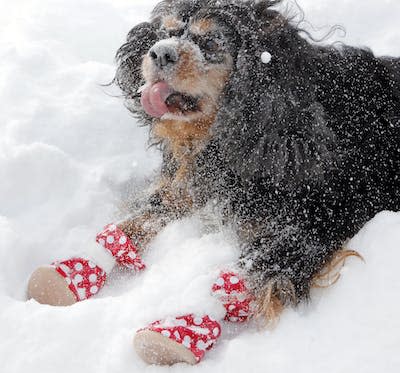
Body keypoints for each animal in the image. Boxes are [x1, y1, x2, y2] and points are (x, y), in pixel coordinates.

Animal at [112, 0, 400, 322]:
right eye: (166, 33)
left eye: (212, 42)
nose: (161, 52)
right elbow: (145, 213)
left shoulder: (319, 218)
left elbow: (249, 276)